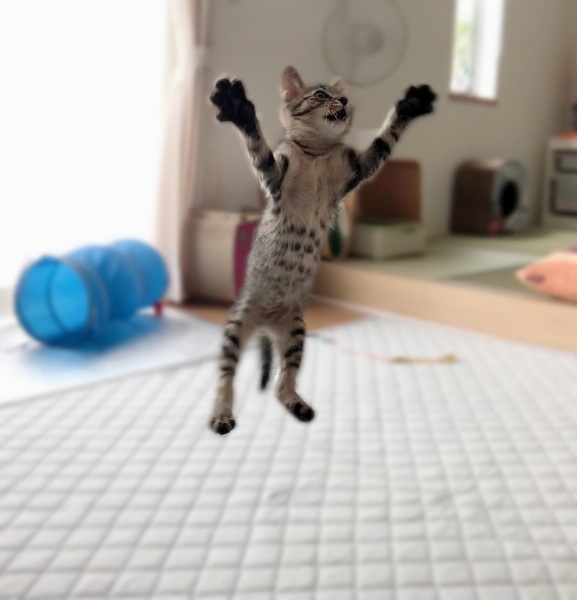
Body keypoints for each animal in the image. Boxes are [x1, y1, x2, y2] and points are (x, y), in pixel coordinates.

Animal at [208, 66, 436, 434]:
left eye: (344, 96)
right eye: (320, 95)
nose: (343, 101)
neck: (316, 152)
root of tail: (266, 326)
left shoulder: (357, 170)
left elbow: (384, 140)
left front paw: (410, 106)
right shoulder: (275, 179)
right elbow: (258, 149)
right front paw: (238, 107)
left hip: (296, 330)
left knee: (283, 380)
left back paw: (297, 404)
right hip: (237, 325)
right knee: (226, 376)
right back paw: (221, 414)